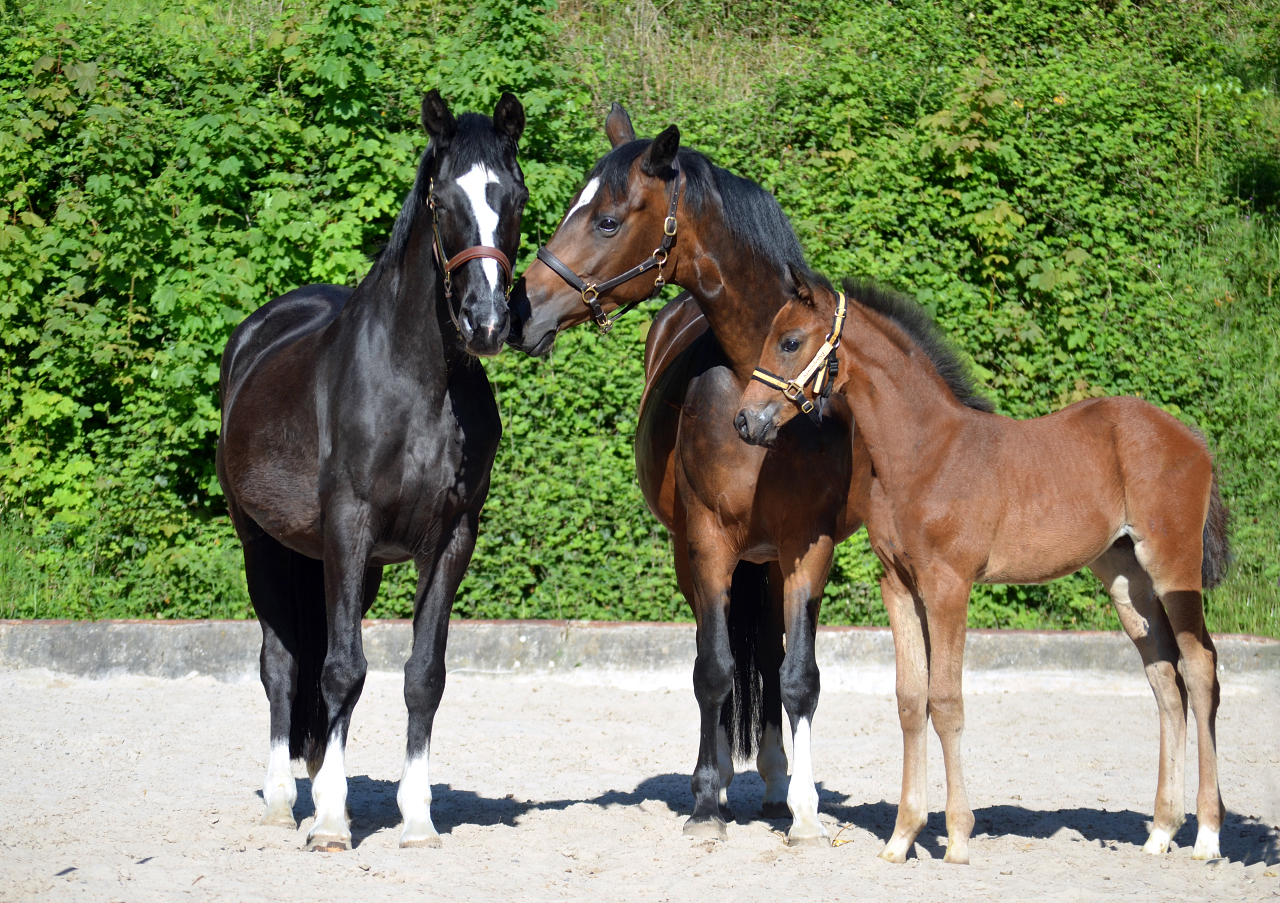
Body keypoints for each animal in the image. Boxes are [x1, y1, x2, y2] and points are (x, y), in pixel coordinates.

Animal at [215, 88, 524, 850]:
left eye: (515, 197)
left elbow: (421, 675)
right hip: (261, 545)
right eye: (444, 199)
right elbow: (339, 668)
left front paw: (416, 817)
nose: (485, 322)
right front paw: (327, 819)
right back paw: (285, 797)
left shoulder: (450, 539)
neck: (419, 384)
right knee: (283, 666)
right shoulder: (348, 527)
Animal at [504, 105, 875, 845]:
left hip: (764, 559)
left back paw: (773, 776)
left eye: (608, 220)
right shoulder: (706, 542)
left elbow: (797, 674)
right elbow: (714, 668)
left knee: (765, 652)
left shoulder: (808, 546)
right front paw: (707, 799)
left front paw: (804, 808)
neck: (763, 392)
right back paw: (728, 776)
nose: (521, 308)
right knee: (720, 648)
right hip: (700, 554)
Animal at [737, 271, 1233, 860]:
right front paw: (902, 837)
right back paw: (1160, 831)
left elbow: (946, 701)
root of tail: (1194, 439)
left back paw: (1207, 836)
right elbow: (911, 701)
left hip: (1173, 569)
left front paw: (956, 836)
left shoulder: (949, 585)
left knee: (1200, 669)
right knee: (1163, 678)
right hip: (1125, 579)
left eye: (790, 341)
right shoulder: (899, 586)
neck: (925, 451)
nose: (745, 420)